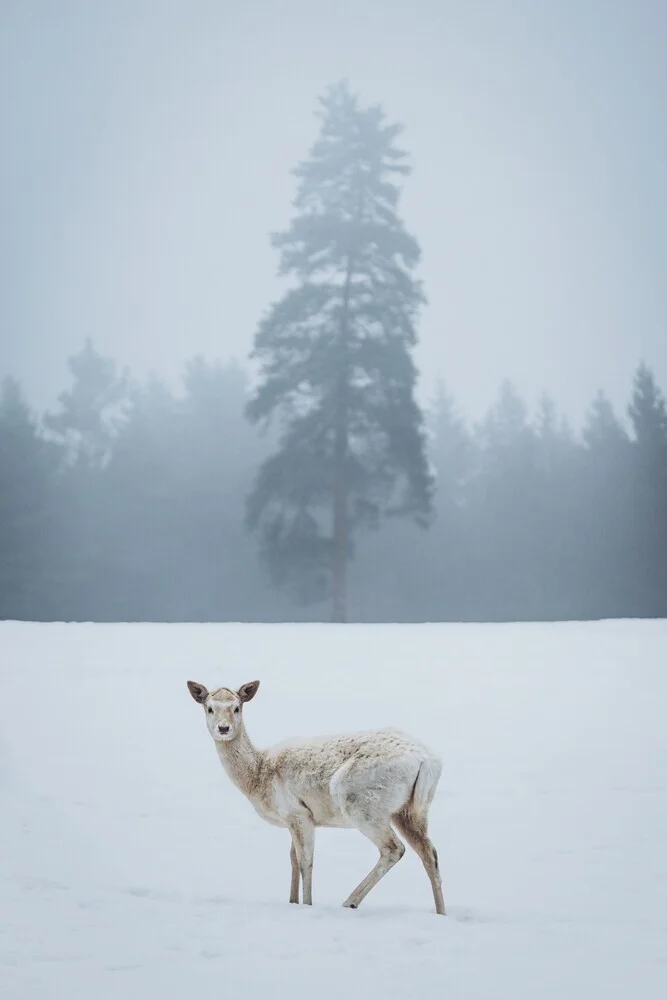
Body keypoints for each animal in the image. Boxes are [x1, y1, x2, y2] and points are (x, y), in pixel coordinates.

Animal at [188, 676, 446, 916]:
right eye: (209, 708)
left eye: (236, 707)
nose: (223, 728)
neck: (258, 777)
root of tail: (427, 761)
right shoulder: (295, 819)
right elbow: (292, 859)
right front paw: (292, 901)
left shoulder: (298, 813)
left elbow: (305, 861)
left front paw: (307, 904)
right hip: (411, 810)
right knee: (429, 851)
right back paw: (441, 912)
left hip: (363, 804)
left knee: (394, 848)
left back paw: (350, 902)